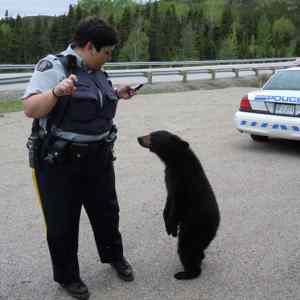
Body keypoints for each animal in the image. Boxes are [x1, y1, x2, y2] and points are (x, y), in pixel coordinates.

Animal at [137, 130, 219, 280]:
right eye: (150, 133)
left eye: (153, 136)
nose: (138, 138)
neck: (175, 161)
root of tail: (216, 228)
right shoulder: (169, 178)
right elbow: (168, 200)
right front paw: (166, 221)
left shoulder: (182, 182)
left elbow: (177, 205)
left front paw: (171, 226)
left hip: (194, 227)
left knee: (186, 248)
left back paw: (185, 273)